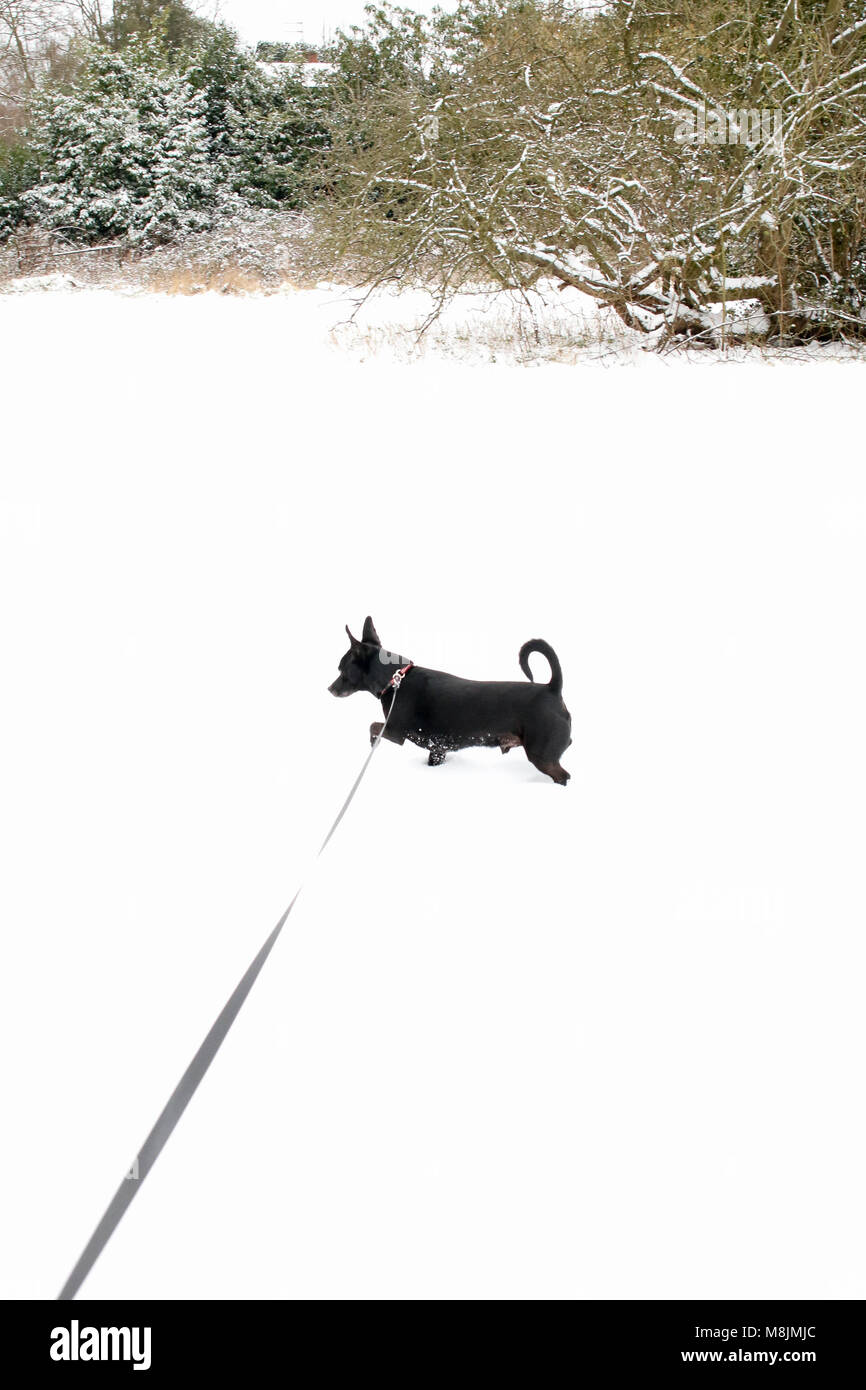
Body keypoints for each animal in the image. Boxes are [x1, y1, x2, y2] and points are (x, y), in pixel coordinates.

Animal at [328, 617, 572, 783]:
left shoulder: (396, 732)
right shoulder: (438, 749)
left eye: (341, 669)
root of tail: (552, 689)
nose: (329, 689)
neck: (395, 680)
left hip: (543, 755)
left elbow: (372, 726)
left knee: (563, 776)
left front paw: (373, 742)